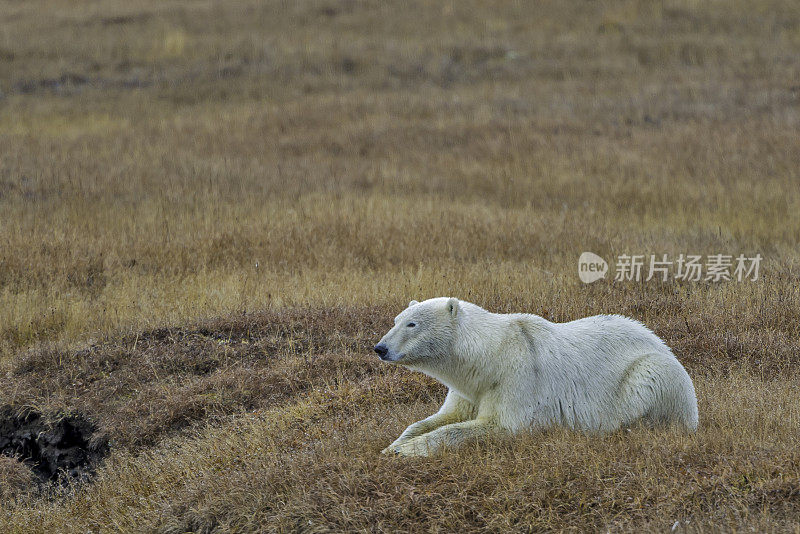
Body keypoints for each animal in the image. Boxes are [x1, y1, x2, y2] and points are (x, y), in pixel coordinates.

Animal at [372, 298, 696, 456]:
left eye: (412, 324)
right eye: (396, 320)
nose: (380, 348)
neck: (491, 355)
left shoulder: (518, 376)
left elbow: (499, 425)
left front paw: (404, 451)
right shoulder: (469, 389)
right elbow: (442, 417)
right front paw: (393, 444)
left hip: (652, 372)